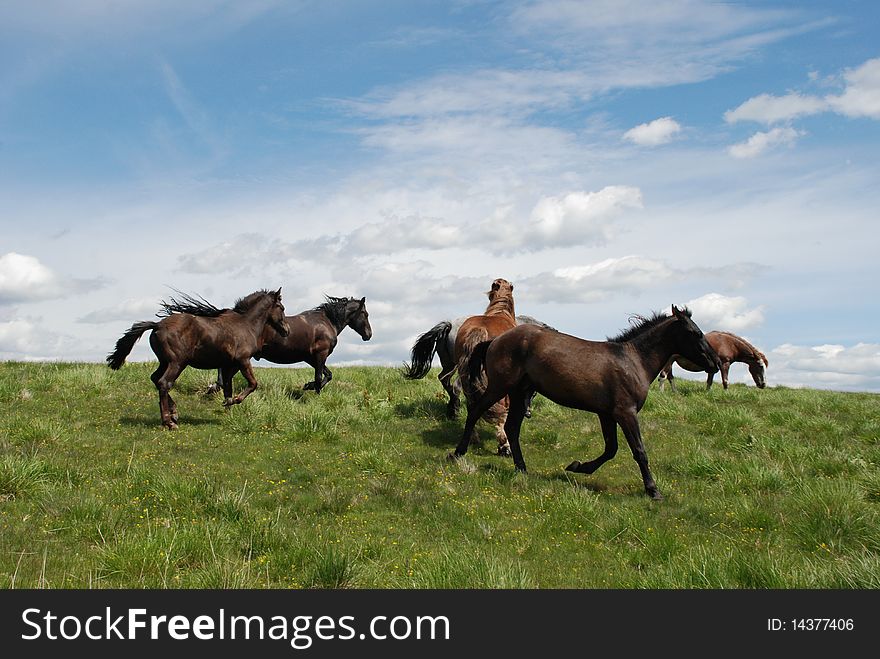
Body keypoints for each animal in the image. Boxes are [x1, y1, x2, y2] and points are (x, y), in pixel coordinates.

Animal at [105, 288, 288, 430]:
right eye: (281, 307)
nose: (286, 330)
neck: (246, 325)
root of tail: (157, 325)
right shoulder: (243, 360)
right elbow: (253, 384)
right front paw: (236, 400)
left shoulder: (228, 365)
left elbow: (227, 388)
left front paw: (228, 408)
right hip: (177, 363)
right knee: (164, 383)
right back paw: (169, 422)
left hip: (165, 362)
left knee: (156, 379)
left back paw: (174, 413)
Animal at [402, 314, 552, 418]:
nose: (527, 413)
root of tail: (449, 326)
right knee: (456, 385)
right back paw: (456, 411)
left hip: (450, 365)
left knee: (444, 379)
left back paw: (452, 408)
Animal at [450, 280, 520, 458]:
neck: (501, 312)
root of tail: (479, 330)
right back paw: (504, 445)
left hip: (466, 378)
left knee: (472, 406)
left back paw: (472, 438)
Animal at [450, 306, 720, 500]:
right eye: (696, 333)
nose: (716, 363)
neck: (632, 361)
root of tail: (494, 341)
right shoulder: (626, 413)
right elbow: (639, 451)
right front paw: (653, 490)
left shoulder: (607, 414)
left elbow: (611, 450)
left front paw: (577, 466)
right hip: (500, 386)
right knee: (475, 411)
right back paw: (458, 453)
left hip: (519, 393)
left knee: (512, 428)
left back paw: (522, 468)